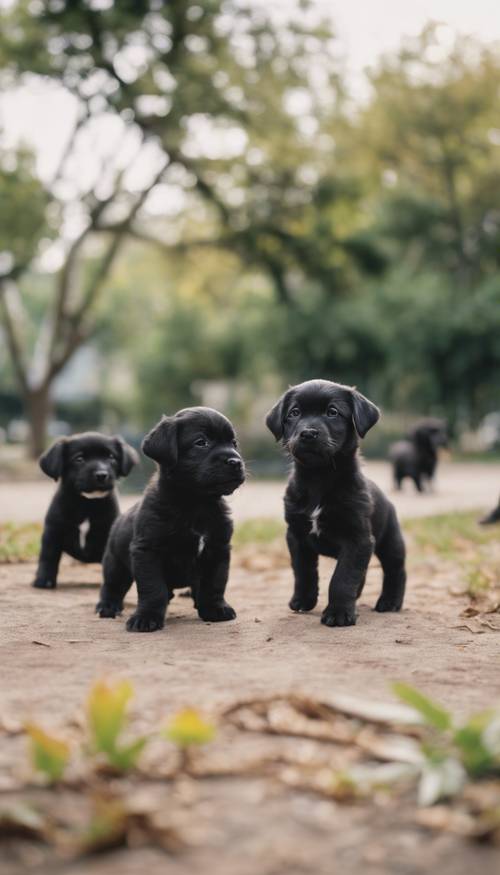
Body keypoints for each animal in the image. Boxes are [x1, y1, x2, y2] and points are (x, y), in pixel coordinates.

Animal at [32, 434, 139, 592]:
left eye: (111, 457)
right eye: (79, 459)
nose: (101, 475)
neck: (87, 503)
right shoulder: (53, 531)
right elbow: (48, 557)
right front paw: (44, 580)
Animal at [95, 408, 244, 632]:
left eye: (233, 443)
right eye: (201, 442)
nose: (236, 461)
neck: (195, 504)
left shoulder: (217, 549)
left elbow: (214, 584)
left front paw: (215, 609)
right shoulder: (148, 551)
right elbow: (152, 588)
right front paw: (146, 617)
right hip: (115, 564)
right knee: (111, 586)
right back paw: (107, 607)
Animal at [266, 380, 406, 628]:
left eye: (333, 412)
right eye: (294, 413)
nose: (308, 433)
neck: (319, 478)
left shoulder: (358, 539)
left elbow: (343, 577)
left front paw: (339, 613)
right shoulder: (296, 535)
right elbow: (303, 571)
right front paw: (303, 600)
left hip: (391, 540)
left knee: (396, 570)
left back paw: (390, 601)